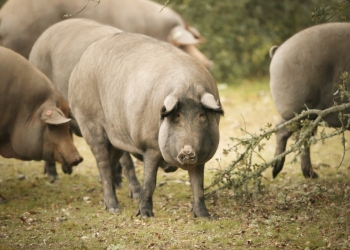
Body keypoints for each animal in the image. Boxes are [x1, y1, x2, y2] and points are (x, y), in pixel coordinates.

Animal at [65, 22, 223, 217]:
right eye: (177, 115)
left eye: (201, 115)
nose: (187, 150)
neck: (189, 88)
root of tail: (80, 62)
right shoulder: (150, 146)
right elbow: (150, 182)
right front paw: (146, 215)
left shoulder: (201, 157)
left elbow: (198, 185)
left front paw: (205, 217)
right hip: (89, 121)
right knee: (102, 164)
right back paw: (114, 209)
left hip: (116, 137)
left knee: (112, 162)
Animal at [270, 21, 350, 178]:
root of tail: (278, 49)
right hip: (298, 108)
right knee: (283, 130)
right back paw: (275, 171)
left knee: (302, 137)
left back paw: (311, 175)